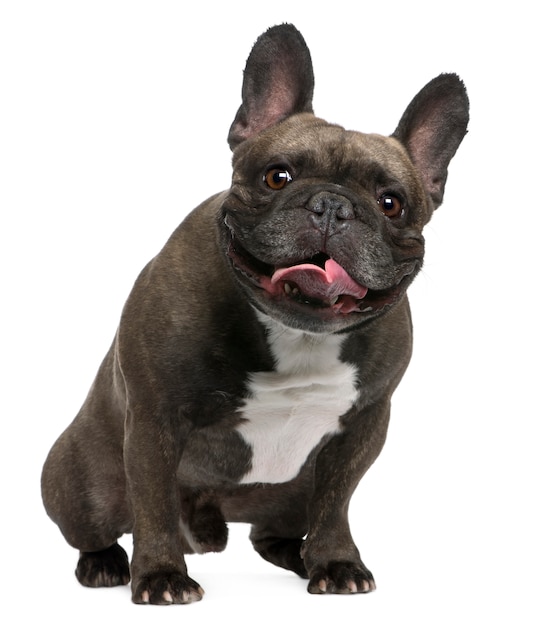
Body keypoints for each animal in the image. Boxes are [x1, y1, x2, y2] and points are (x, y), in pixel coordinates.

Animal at [42, 22, 468, 604]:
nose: (332, 206)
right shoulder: (153, 419)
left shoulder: (364, 425)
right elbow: (153, 502)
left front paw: (336, 562)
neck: (297, 331)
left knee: (276, 531)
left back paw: (301, 557)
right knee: (96, 524)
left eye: (391, 203)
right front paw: (161, 576)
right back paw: (105, 564)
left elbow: (336, 502)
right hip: (80, 484)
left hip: (291, 493)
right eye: (277, 177)